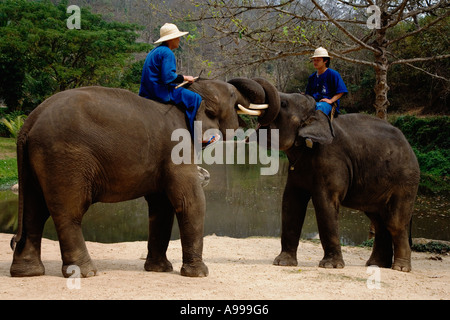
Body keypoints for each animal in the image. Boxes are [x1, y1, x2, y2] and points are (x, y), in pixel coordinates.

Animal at [9, 79, 278, 278]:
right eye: (232, 95)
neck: (187, 95)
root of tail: (27, 123)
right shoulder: (177, 148)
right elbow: (190, 201)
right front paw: (199, 274)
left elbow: (161, 206)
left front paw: (160, 270)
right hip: (65, 159)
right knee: (68, 211)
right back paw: (85, 273)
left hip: (40, 161)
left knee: (34, 210)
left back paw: (28, 273)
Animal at [234, 78, 420, 272]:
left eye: (283, 104)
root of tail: (410, 147)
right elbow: (291, 203)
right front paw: (283, 263)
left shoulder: (331, 161)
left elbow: (324, 204)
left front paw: (330, 266)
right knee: (378, 220)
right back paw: (376, 265)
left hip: (405, 181)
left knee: (395, 222)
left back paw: (400, 268)